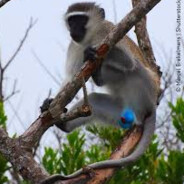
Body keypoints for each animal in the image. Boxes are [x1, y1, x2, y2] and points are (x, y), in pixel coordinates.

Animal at [41, 1, 159, 184]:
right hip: (120, 110)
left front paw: (92, 51)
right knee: (95, 100)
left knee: (134, 67)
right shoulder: (74, 46)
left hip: (145, 89)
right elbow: (70, 81)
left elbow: (127, 61)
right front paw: (50, 103)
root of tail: (151, 105)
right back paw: (65, 124)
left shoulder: (108, 31)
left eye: (81, 20)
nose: (73, 29)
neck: (91, 37)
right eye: (71, 21)